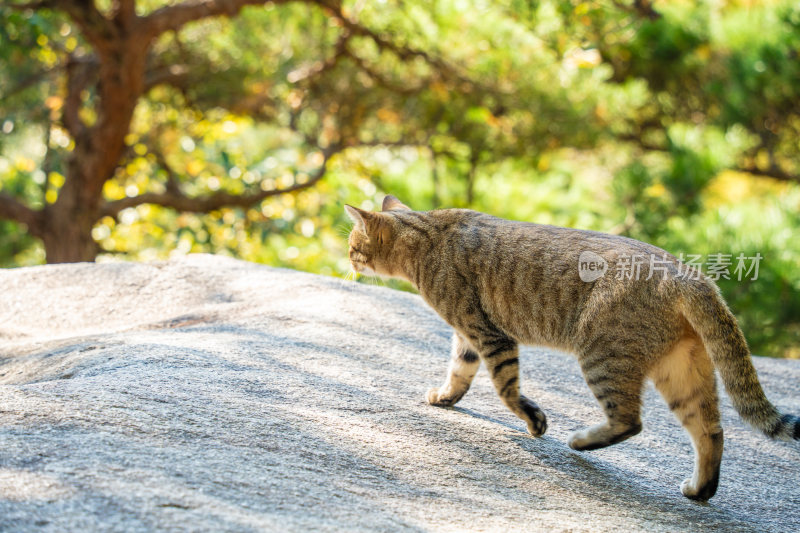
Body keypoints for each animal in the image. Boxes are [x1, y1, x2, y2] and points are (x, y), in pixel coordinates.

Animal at [346, 194, 800, 498]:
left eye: (353, 245)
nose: (348, 260)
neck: (428, 236)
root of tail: (690, 274)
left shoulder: (489, 332)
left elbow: (506, 388)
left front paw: (534, 421)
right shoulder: (468, 334)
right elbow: (459, 371)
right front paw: (445, 397)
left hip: (602, 357)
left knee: (631, 421)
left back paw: (581, 441)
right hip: (682, 372)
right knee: (711, 431)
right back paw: (700, 490)